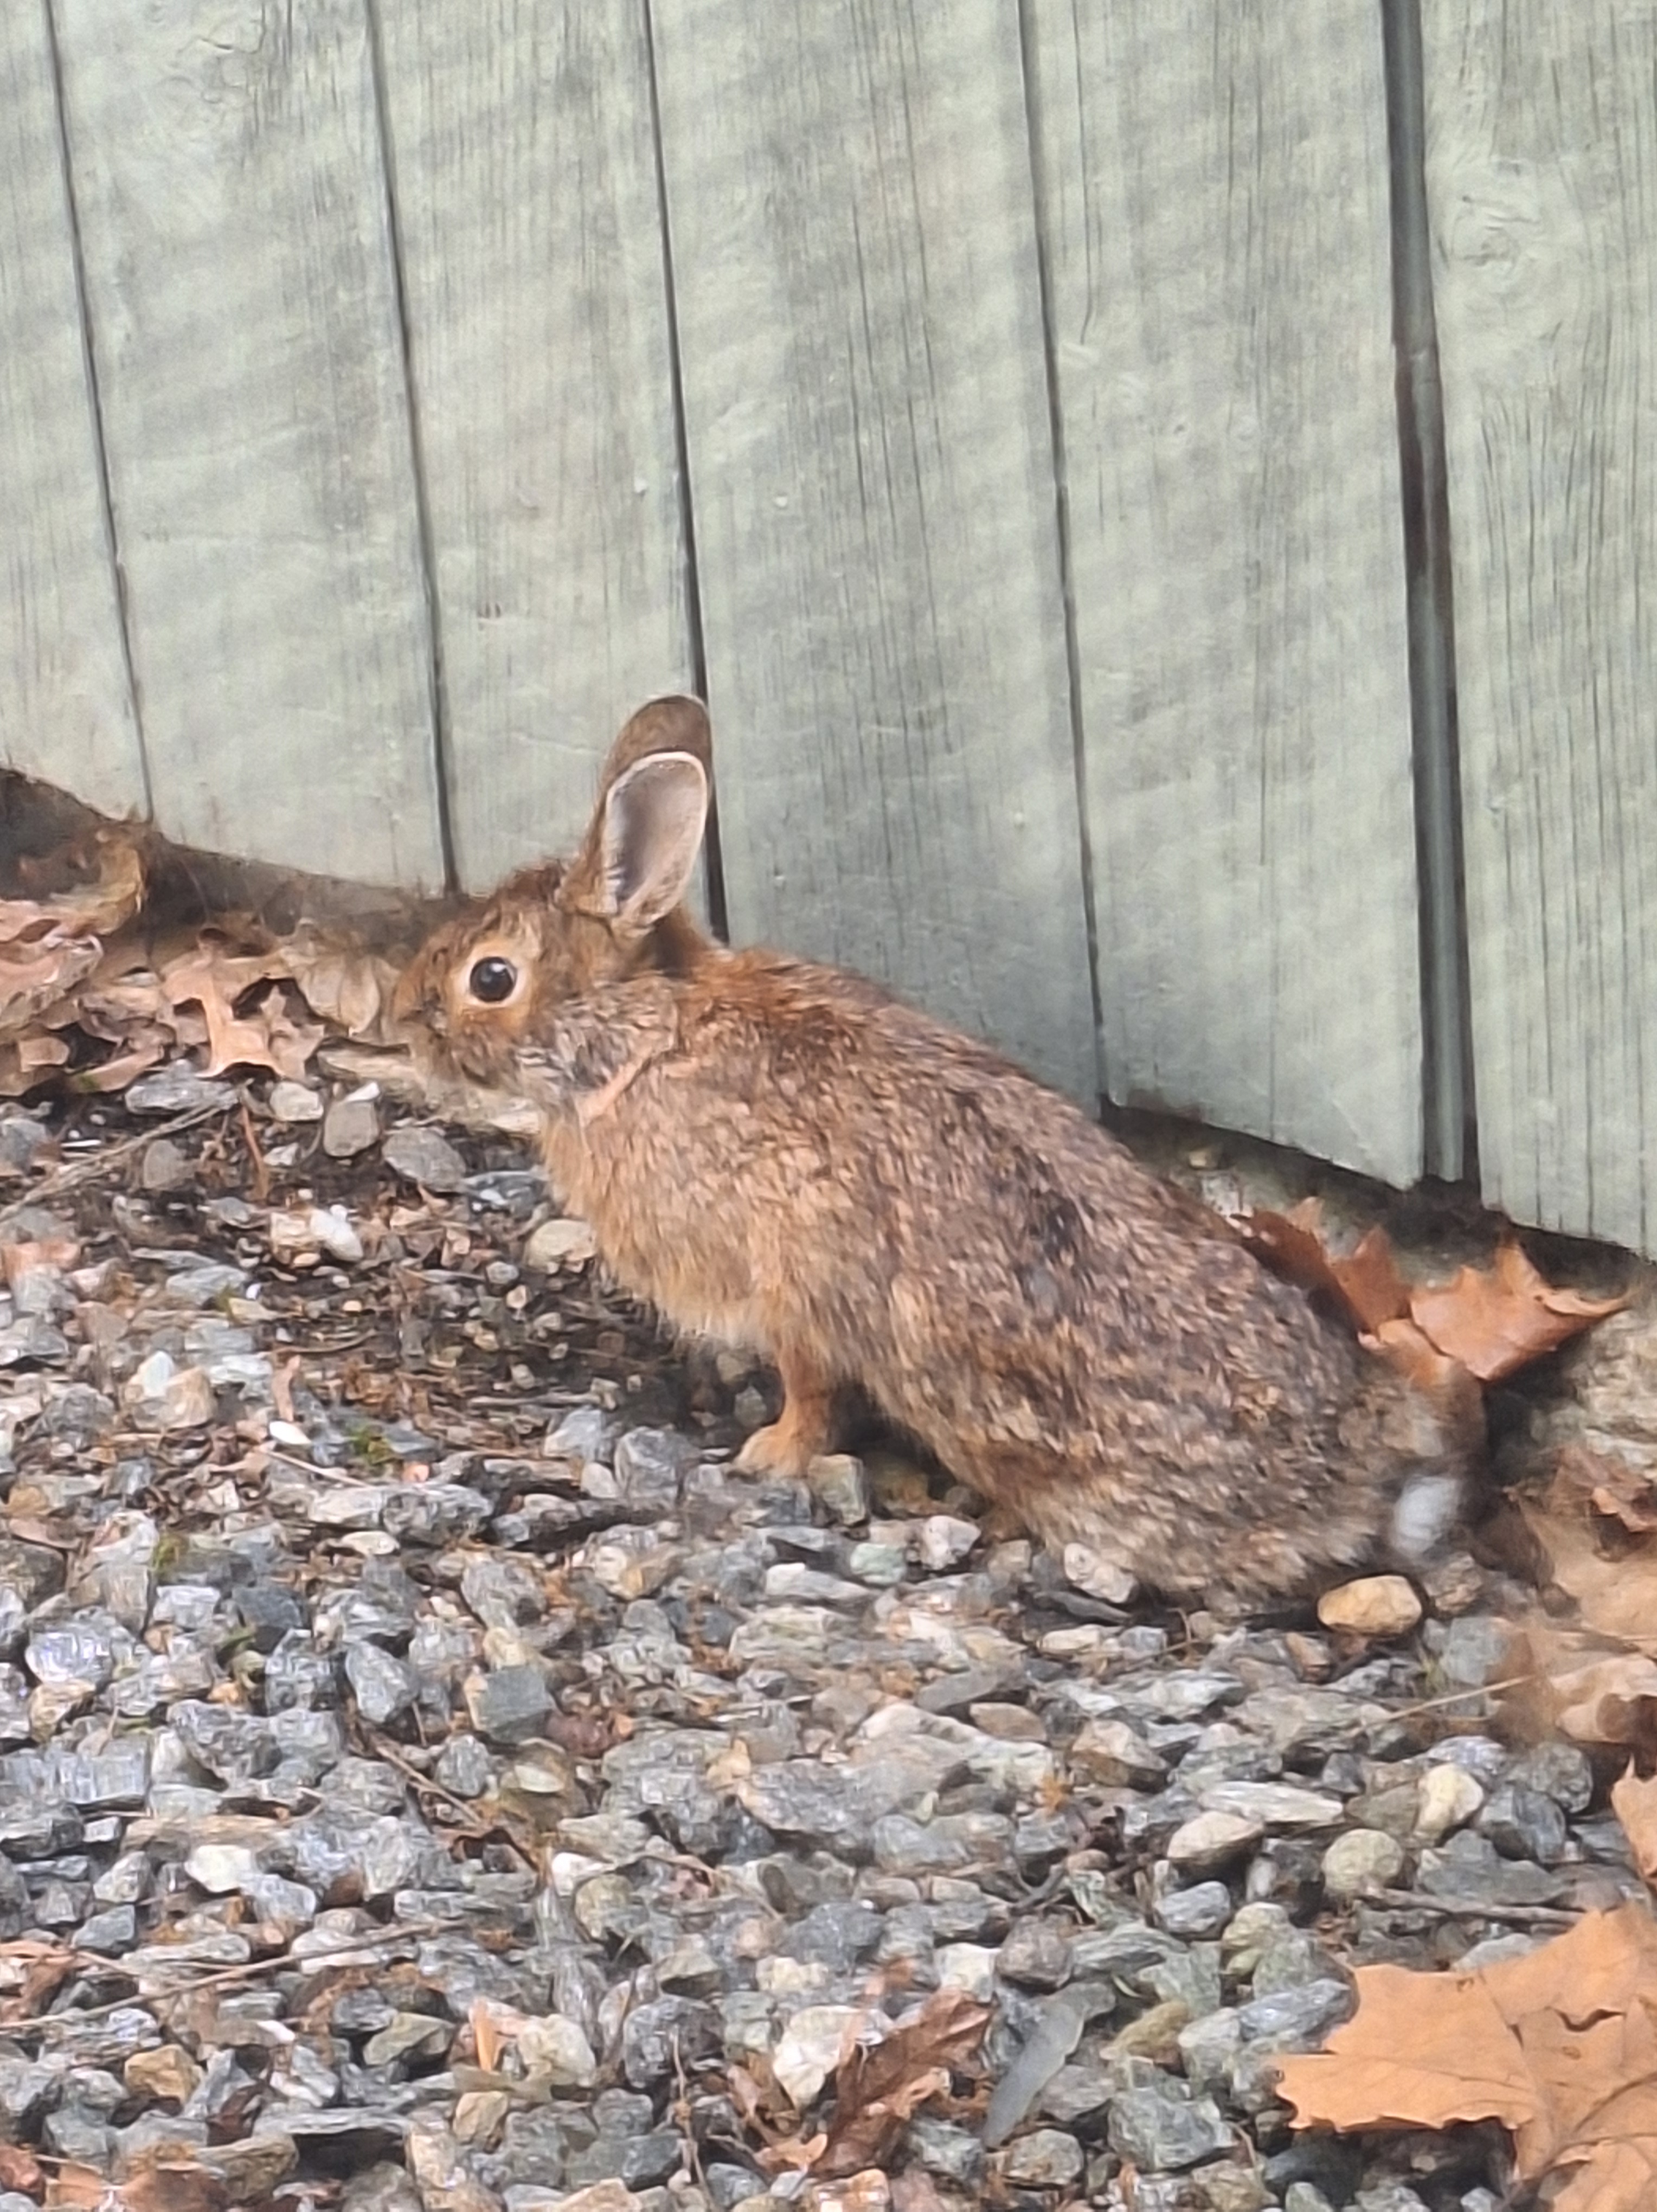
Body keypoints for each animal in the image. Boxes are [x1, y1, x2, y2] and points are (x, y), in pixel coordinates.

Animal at [394, 695, 1479, 1605]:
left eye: (491, 978)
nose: (402, 1018)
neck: (637, 1042)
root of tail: (1362, 1482)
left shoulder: (796, 1268)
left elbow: (813, 1390)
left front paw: (768, 1455)